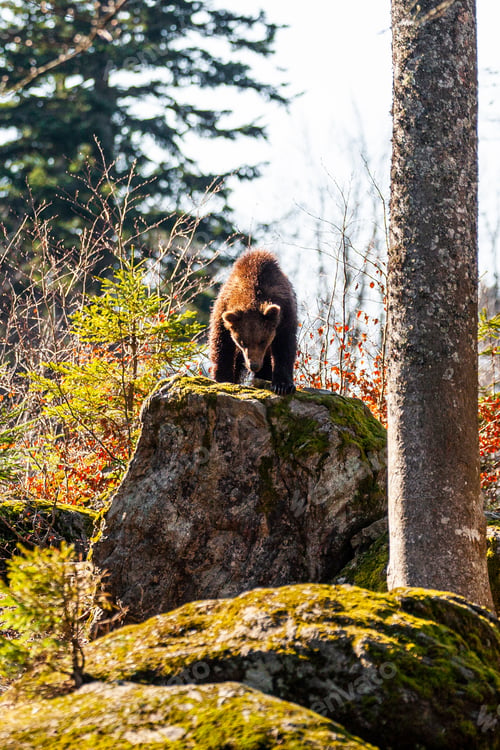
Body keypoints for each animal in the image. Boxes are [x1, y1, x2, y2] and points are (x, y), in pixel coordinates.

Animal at [208, 249, 297, 395]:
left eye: (263, 341)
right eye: (242, 342)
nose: (254, 365)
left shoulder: (285, 313)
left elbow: (285, 346)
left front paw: (282, 385)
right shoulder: (223, 310)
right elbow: (222, 345)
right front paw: (222, 378)